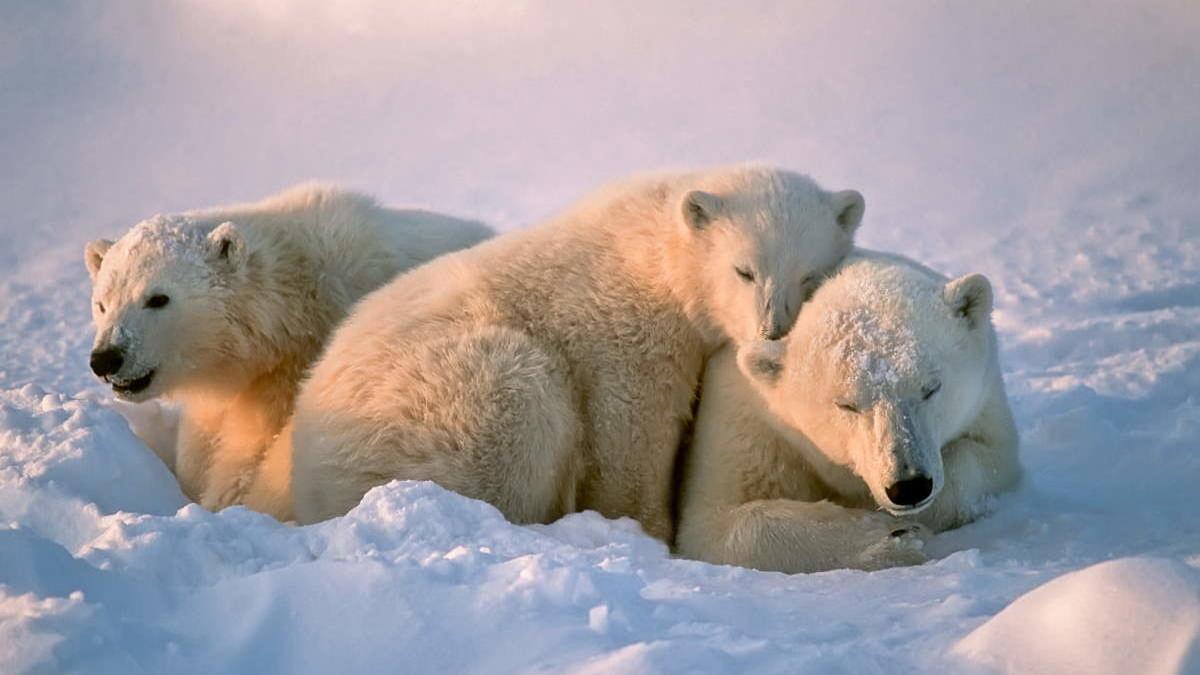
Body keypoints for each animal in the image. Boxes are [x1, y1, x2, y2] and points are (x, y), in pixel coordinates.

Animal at [676, 249, 1022, 569]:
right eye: (847, 405)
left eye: (931, 388)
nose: (909, 486)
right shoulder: (749, 425)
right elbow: (714, 524)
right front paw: (888, 538)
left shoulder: (986, 400)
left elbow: (990, 461)